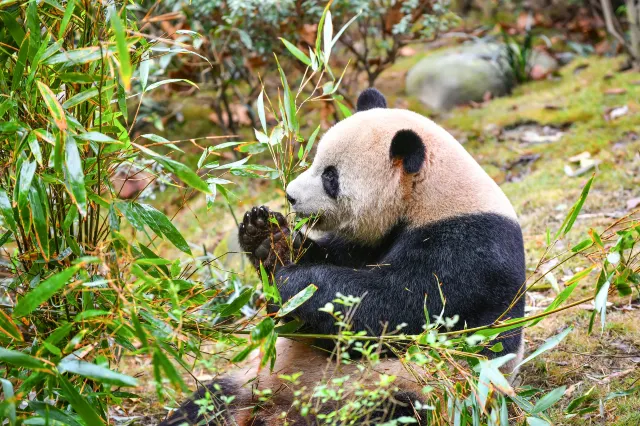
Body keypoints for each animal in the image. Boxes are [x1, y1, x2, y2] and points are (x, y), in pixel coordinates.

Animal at [159, 88, 526, 426]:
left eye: (330, 177)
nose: (290, 196)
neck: (428, 195)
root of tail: (280, 412)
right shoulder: (368, 240)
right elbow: (331, 263)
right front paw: (267, 237)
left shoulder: (468, 249)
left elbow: (395, 311)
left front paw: (290, 284)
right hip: (255, 381)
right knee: (208, 402)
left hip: (419, 386)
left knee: (399, 408)